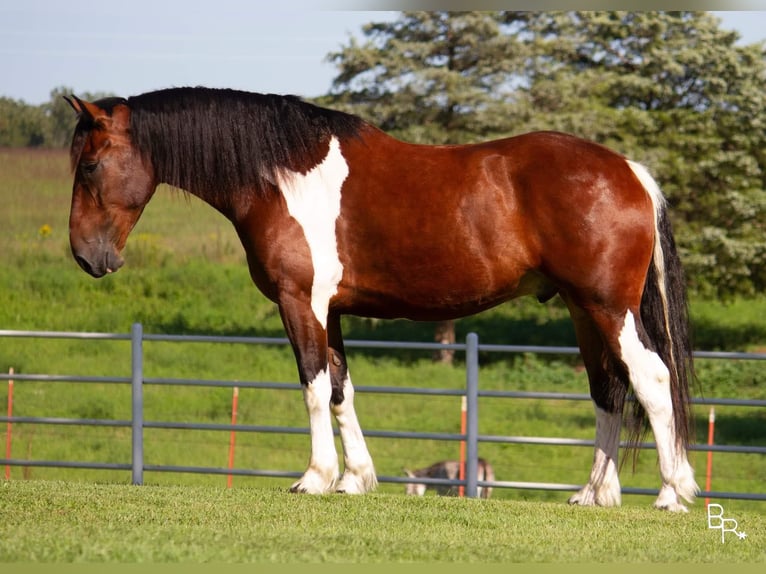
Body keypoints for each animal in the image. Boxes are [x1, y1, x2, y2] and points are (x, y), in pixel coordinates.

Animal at [66, 86, 700, 512]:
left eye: (91, 164)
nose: (85, 256)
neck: (283, 177)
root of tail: (630, 171)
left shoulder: (300, 303)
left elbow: (313, 385)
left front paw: (315, 477)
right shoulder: (333, 310)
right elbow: (342, 389)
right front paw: (355, 480)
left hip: (608, 308)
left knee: (650, 379)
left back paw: (672, 492)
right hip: (582, 310)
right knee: (608, 389)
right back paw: (593, 493)